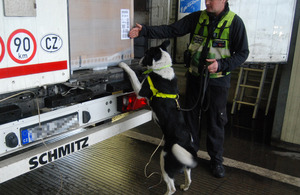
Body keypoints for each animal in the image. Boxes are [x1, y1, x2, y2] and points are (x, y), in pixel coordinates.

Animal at [118, 40, 198, 194]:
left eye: (145, 53)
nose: (139, 60)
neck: (163, 67)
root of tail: (186, 144)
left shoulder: (140, 91)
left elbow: (132, 74)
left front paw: (124, 65)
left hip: (164, 159)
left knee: (172, 188)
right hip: (186, 162)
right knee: (189, 177)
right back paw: (185, 186)